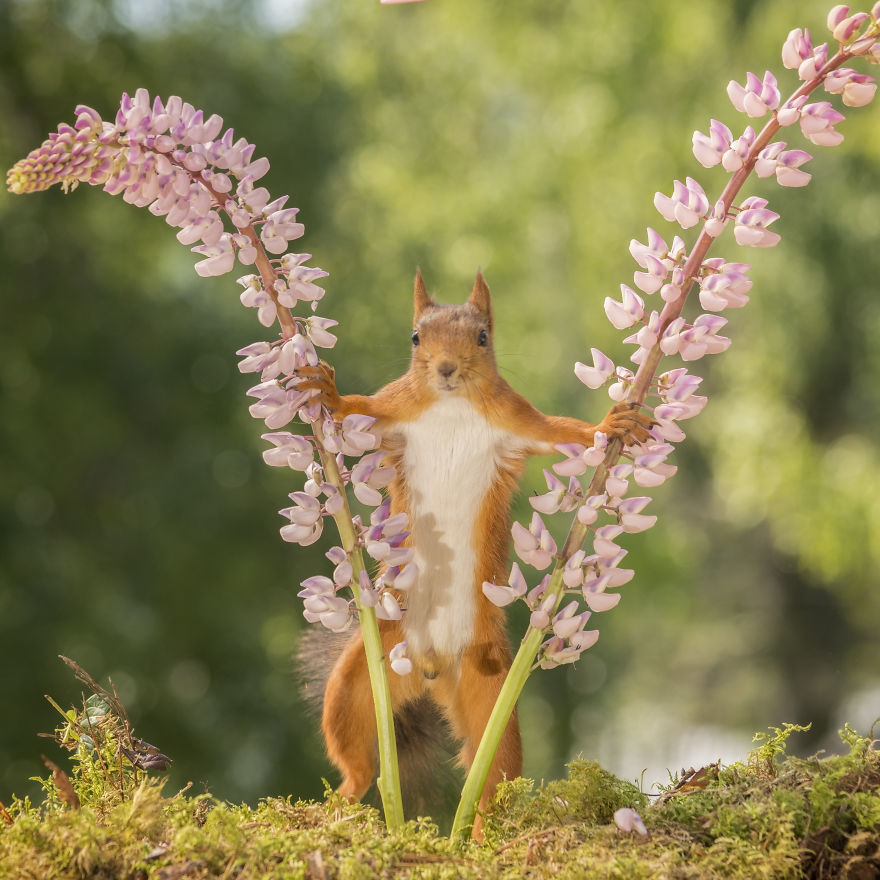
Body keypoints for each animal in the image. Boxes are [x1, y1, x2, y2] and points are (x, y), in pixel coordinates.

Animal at [296, 270, 652, 832]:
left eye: (482, 337)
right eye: (416, 337)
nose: (446, 368)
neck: (452, 404)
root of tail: (431, 668)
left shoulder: (518, 419)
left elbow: (564, 433)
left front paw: (612, 425)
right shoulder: (392, 408)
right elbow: (357, 408)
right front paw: (326, 390)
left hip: (490, 695)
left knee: (492, 782)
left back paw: (480, 833)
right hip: (359, 680)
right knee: (358, 761)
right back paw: (338, 803)